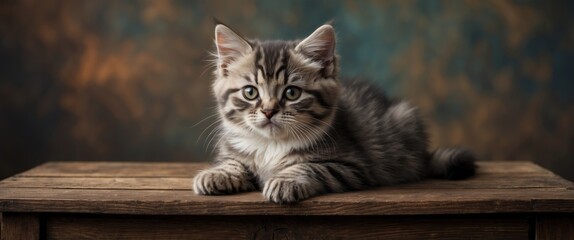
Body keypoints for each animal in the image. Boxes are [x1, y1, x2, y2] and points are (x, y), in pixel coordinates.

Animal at [194, 22, 476, 203]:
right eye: (250, 92)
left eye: (291, 93)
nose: (269, 111)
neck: (271, 146)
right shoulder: (234, 150)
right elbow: (233, 162)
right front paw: (216, 174)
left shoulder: (352, 166)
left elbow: (309, 167)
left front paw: (285, 180)